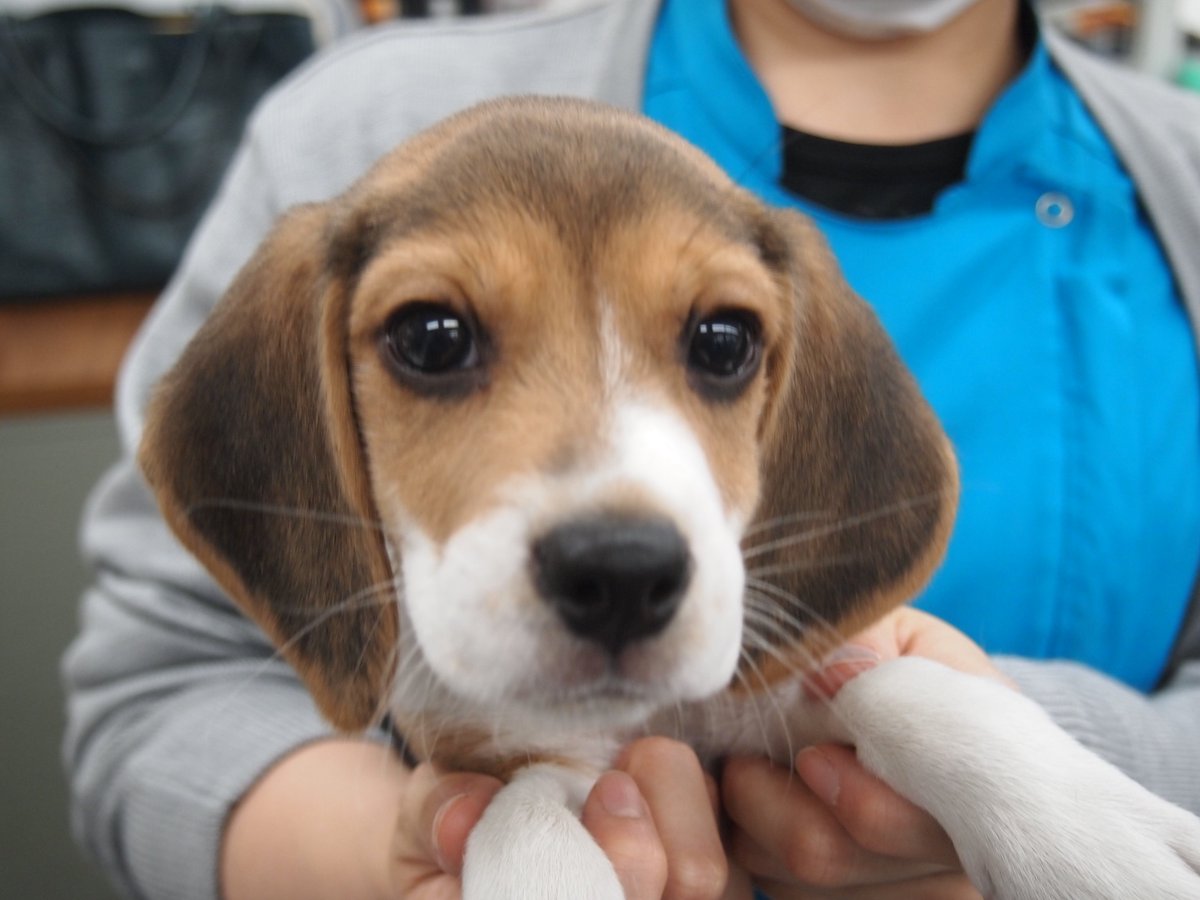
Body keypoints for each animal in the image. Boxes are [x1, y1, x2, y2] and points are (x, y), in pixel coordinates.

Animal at [138, 98, 1200, 900]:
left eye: (724, 340)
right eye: (431, 336)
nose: (620, 572)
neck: (639, 721)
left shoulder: (761, 694)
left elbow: (911, 690)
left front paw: (1096, 842)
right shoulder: (501, 765)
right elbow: (519, 825)